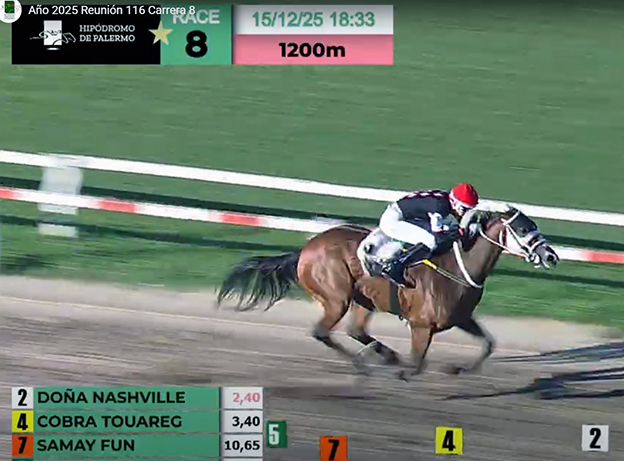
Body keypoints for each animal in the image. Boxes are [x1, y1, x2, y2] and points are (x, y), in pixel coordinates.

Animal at [217, 206, 559, 380]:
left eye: (534, 224)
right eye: (524, 229)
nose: (551, 256)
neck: (459, 265)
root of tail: (306, 248)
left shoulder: (461, 317)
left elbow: (489, 343)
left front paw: (458, 368)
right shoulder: (422, 325)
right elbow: (417, 364)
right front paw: (405, 370)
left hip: (363, 299)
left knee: (355, 330)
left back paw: (385, 355)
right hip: (337, 297)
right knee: (322, 332)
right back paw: (364, 364)